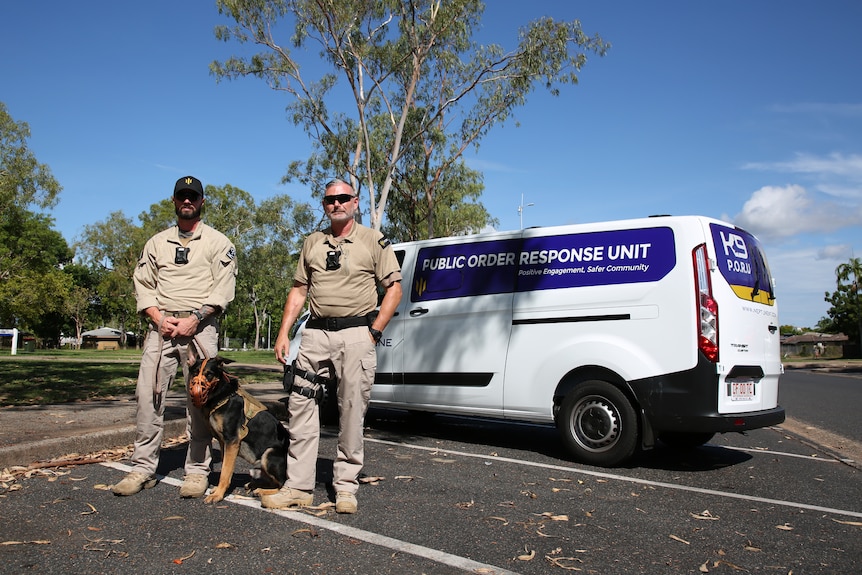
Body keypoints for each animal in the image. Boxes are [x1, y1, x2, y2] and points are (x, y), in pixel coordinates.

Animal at [188, 356, 288, 504]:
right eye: (195, 372)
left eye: (209, 374)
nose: (196, 387)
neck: (222, 395)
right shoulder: (223, 443)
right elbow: (224, 467)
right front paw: (217, 490)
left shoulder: (232, 441)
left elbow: (225, 472)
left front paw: (218, 495)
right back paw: (254, 485)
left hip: (269, 453)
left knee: (282, 483)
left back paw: (262, 491)